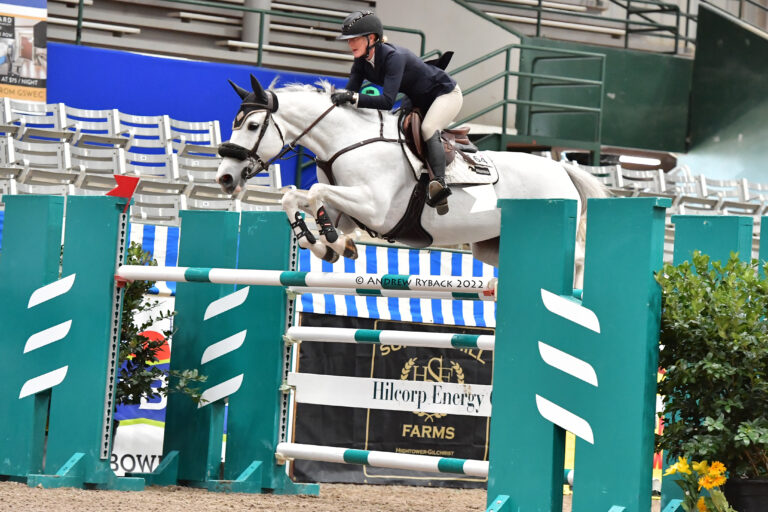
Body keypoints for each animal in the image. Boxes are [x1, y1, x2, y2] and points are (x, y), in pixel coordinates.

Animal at [214, 74, 608, 278]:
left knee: (579, 257)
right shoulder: (350, 212)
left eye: (252, 126)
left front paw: (330, 242)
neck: (347, 140)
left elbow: (313, 192)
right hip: (491, 246)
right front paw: (329, 246)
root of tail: (563, 169)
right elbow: (295, 197)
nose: (224, 178)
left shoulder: (375, 208)